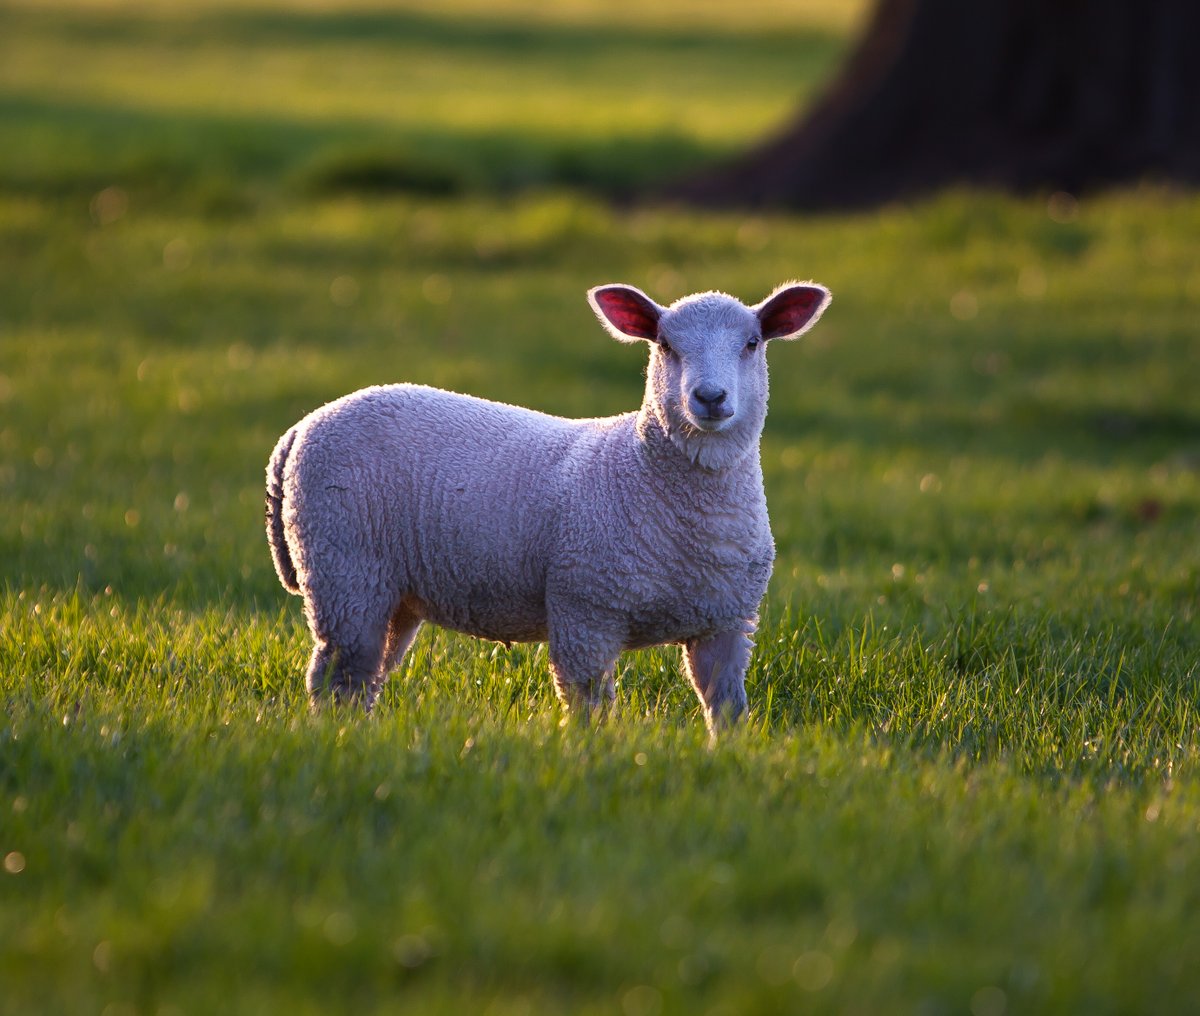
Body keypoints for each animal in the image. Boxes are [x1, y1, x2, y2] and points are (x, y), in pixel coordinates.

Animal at [265, 281, 831, 733]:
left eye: (752, 343)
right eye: (666, 345)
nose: (710, 398)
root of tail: (301, 427)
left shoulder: (727, 625)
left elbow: (726, 711)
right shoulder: (584, 611)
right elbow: (590, 708)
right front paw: (593, 755)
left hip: (392, 592)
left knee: (365, 677)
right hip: (344, 569)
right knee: (336, 675)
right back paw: (336, 739)